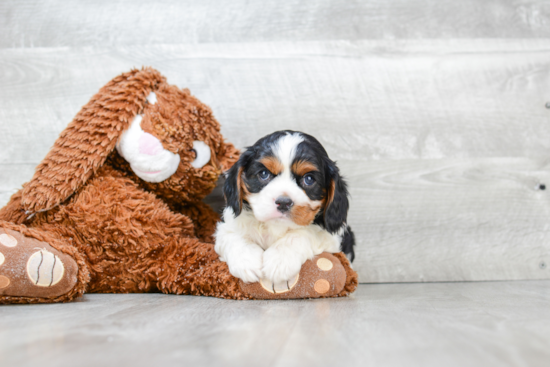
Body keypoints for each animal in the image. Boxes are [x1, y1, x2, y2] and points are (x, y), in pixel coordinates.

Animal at [213, 131, 356, 286]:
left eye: (309, 179)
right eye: (264, 174)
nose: (283, 202)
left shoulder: (332, 237)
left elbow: (303, 233)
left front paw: (279, 260)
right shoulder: (227, 226)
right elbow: (233, 235)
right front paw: (246, 261)